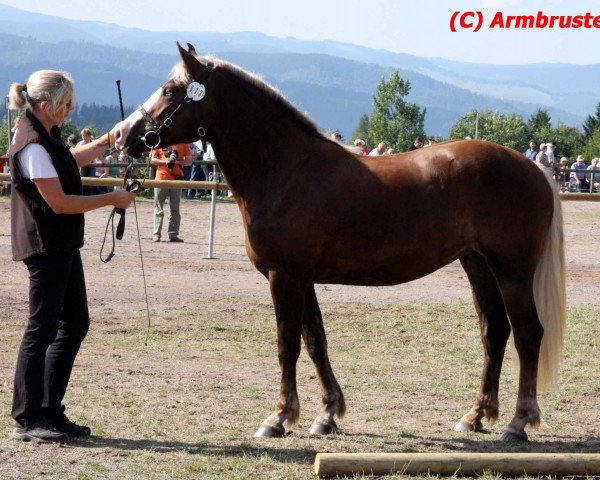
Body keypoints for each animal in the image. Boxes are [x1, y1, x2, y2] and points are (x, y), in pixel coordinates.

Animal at [113, 43, 568, 440]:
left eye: (170, 91)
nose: (122, 135)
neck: (286, 170)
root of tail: (533, 168)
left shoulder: (284, 276)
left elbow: (287, 345)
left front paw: (279, 418)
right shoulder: (303, 278)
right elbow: (315, 341)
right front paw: (327, 414)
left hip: (511, 270)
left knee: (528, 332)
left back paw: (518, 423)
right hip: (477, 265)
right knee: (495, 332)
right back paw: (474, 416)